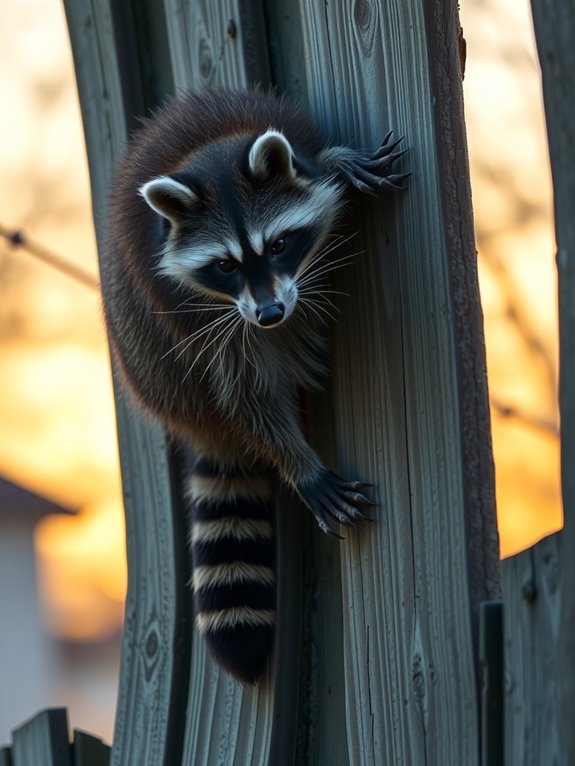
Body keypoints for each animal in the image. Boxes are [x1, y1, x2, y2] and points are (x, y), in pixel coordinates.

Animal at [105, 89, 407, 682]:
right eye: (224, 265)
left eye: (280, 244)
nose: (269, 313)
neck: (209, 154)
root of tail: (191, 422)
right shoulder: (198, 319)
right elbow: (245, 394)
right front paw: (298, 463)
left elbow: (321, 167)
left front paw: (339, 161)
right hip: (147, 351)